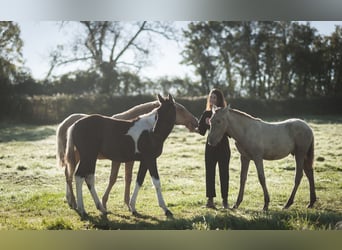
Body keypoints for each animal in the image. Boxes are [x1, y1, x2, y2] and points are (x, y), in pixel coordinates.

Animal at [56, 99, 198, 211]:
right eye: (180, 109)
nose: (195, 121)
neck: (149, 131)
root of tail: (73, 124)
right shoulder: (149, 159)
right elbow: (154, 181)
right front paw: (164, 208)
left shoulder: (142, 161)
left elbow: (136, 180)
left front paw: (131, 205)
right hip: (86, 157)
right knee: (77, 176)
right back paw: (80, 207)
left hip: (86, 158)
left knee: (83, 177)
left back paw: (95, 206)